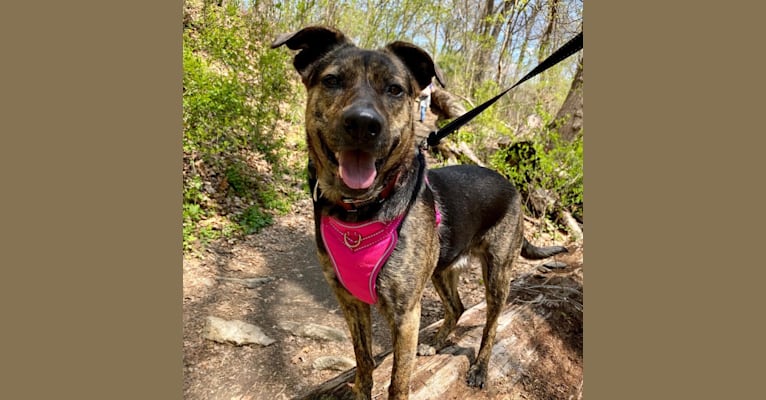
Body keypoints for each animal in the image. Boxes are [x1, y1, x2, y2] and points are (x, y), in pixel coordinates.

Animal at [272, 25, 568, 400]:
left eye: (395, 89)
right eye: (332, 81)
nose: (363, 124)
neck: (361, 210)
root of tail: (512, 186)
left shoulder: (405, 315)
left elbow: (399, 380)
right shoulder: (350, 302)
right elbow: (363, 361)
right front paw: (361, 389)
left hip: (498, 274)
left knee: (491, 324)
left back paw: (480, 368)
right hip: (442, 269)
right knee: (457, 307)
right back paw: (439, 341)